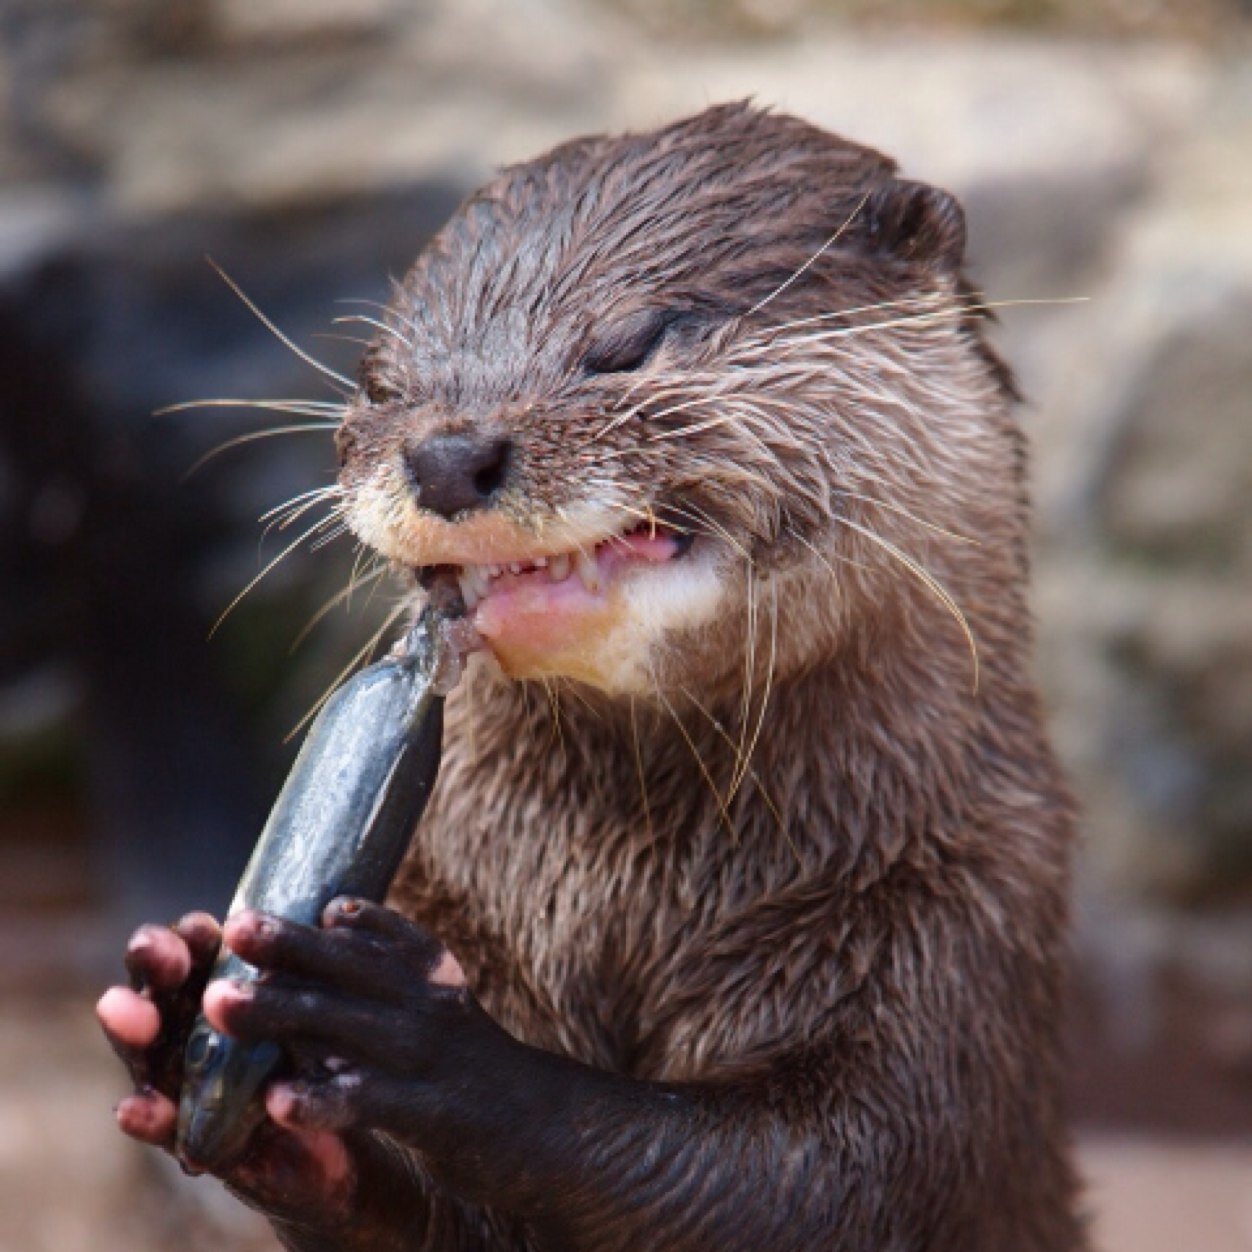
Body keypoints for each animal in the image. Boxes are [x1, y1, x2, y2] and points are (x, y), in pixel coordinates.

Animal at [97, 107, 1086, 1252]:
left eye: (629, 343)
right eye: (379, 382)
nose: (449, 453)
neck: (637, 886)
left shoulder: (953, 929)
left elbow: (822, 1184)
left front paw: (420, 1038)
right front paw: (181, 1003)